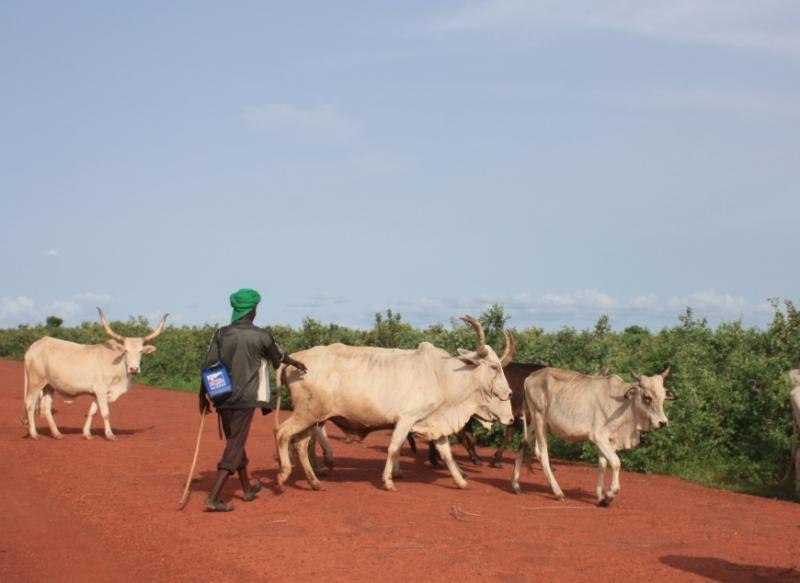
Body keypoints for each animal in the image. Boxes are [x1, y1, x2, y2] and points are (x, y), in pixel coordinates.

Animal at [23, 308, 167, 440]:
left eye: (141, 351)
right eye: (125, 351)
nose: (134, 369)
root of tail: (34, 347)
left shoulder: (96, 393)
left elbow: (92, 411)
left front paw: (87, 433)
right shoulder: (101, 390)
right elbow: (105, 413)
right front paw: (109, 434)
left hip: (49, 386)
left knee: (46, 409)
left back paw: (57, 434)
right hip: (36, 383)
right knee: (30, 404)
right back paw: (34, 434)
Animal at [512, 368, 676, 504]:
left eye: (663, 397)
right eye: (647, 397)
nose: (663, 422)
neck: (624, 404)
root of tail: (531, 377)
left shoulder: (608, 441)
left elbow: (602, 464)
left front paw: (600, 496)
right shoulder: (599, 436)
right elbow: (616, 463)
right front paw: (609, 495)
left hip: (538, 423)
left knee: (523, 442)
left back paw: (515, 485)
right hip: (539, 418)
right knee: (542, 453)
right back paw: (558, 492)